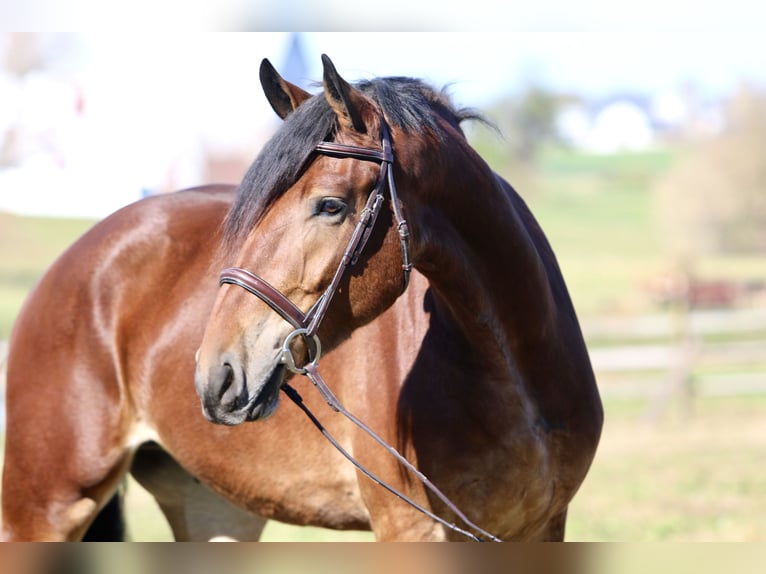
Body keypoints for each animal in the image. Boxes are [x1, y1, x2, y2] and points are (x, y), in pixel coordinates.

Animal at [0, 54, 602, 542]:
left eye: (330, 205)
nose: (216, 374)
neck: (511, 378)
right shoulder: (411, 528)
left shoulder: (543, 528)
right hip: (45, 506)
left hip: (214, 508)